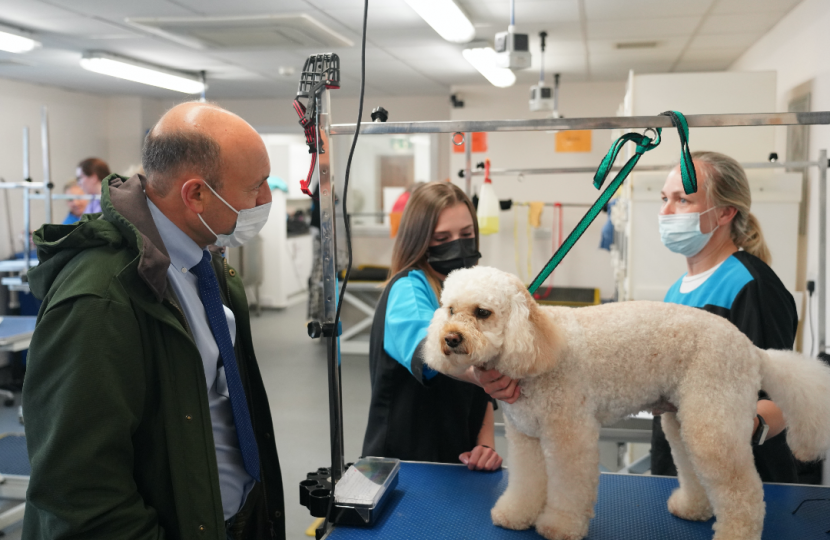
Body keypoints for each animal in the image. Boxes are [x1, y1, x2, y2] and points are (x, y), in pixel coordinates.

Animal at [426, 266, 830, 540]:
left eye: (483, 312)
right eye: (450, 310)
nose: (450, 339)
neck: (538, 344)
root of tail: (752, 350)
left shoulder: (570, 435)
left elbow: (568, 488)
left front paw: (558, 526)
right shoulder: (526, 438)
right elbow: (526, 482)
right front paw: (515, 515)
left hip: (713, 421)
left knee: (744, 491)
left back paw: (736, 532)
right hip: (683, 421)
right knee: (695, 469)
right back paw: (692, 509)